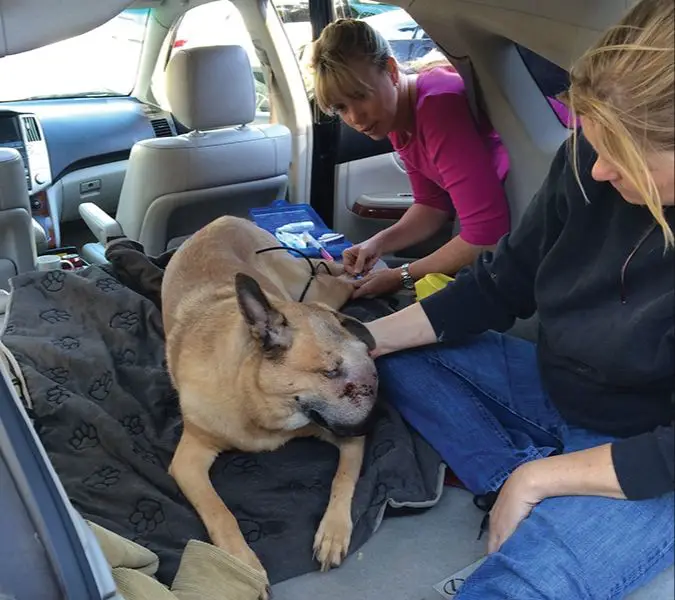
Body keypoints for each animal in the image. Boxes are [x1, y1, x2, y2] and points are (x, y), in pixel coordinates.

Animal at [161, 217, 378, 596]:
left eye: (368, 369)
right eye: (330, 371)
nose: (370, 427)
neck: (257, 403)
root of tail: (225, 219)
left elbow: (343, 478)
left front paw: (333, 531)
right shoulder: (189, 460)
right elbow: (220, 512)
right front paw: (241, 564)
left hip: (319, 291)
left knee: (339, 278)